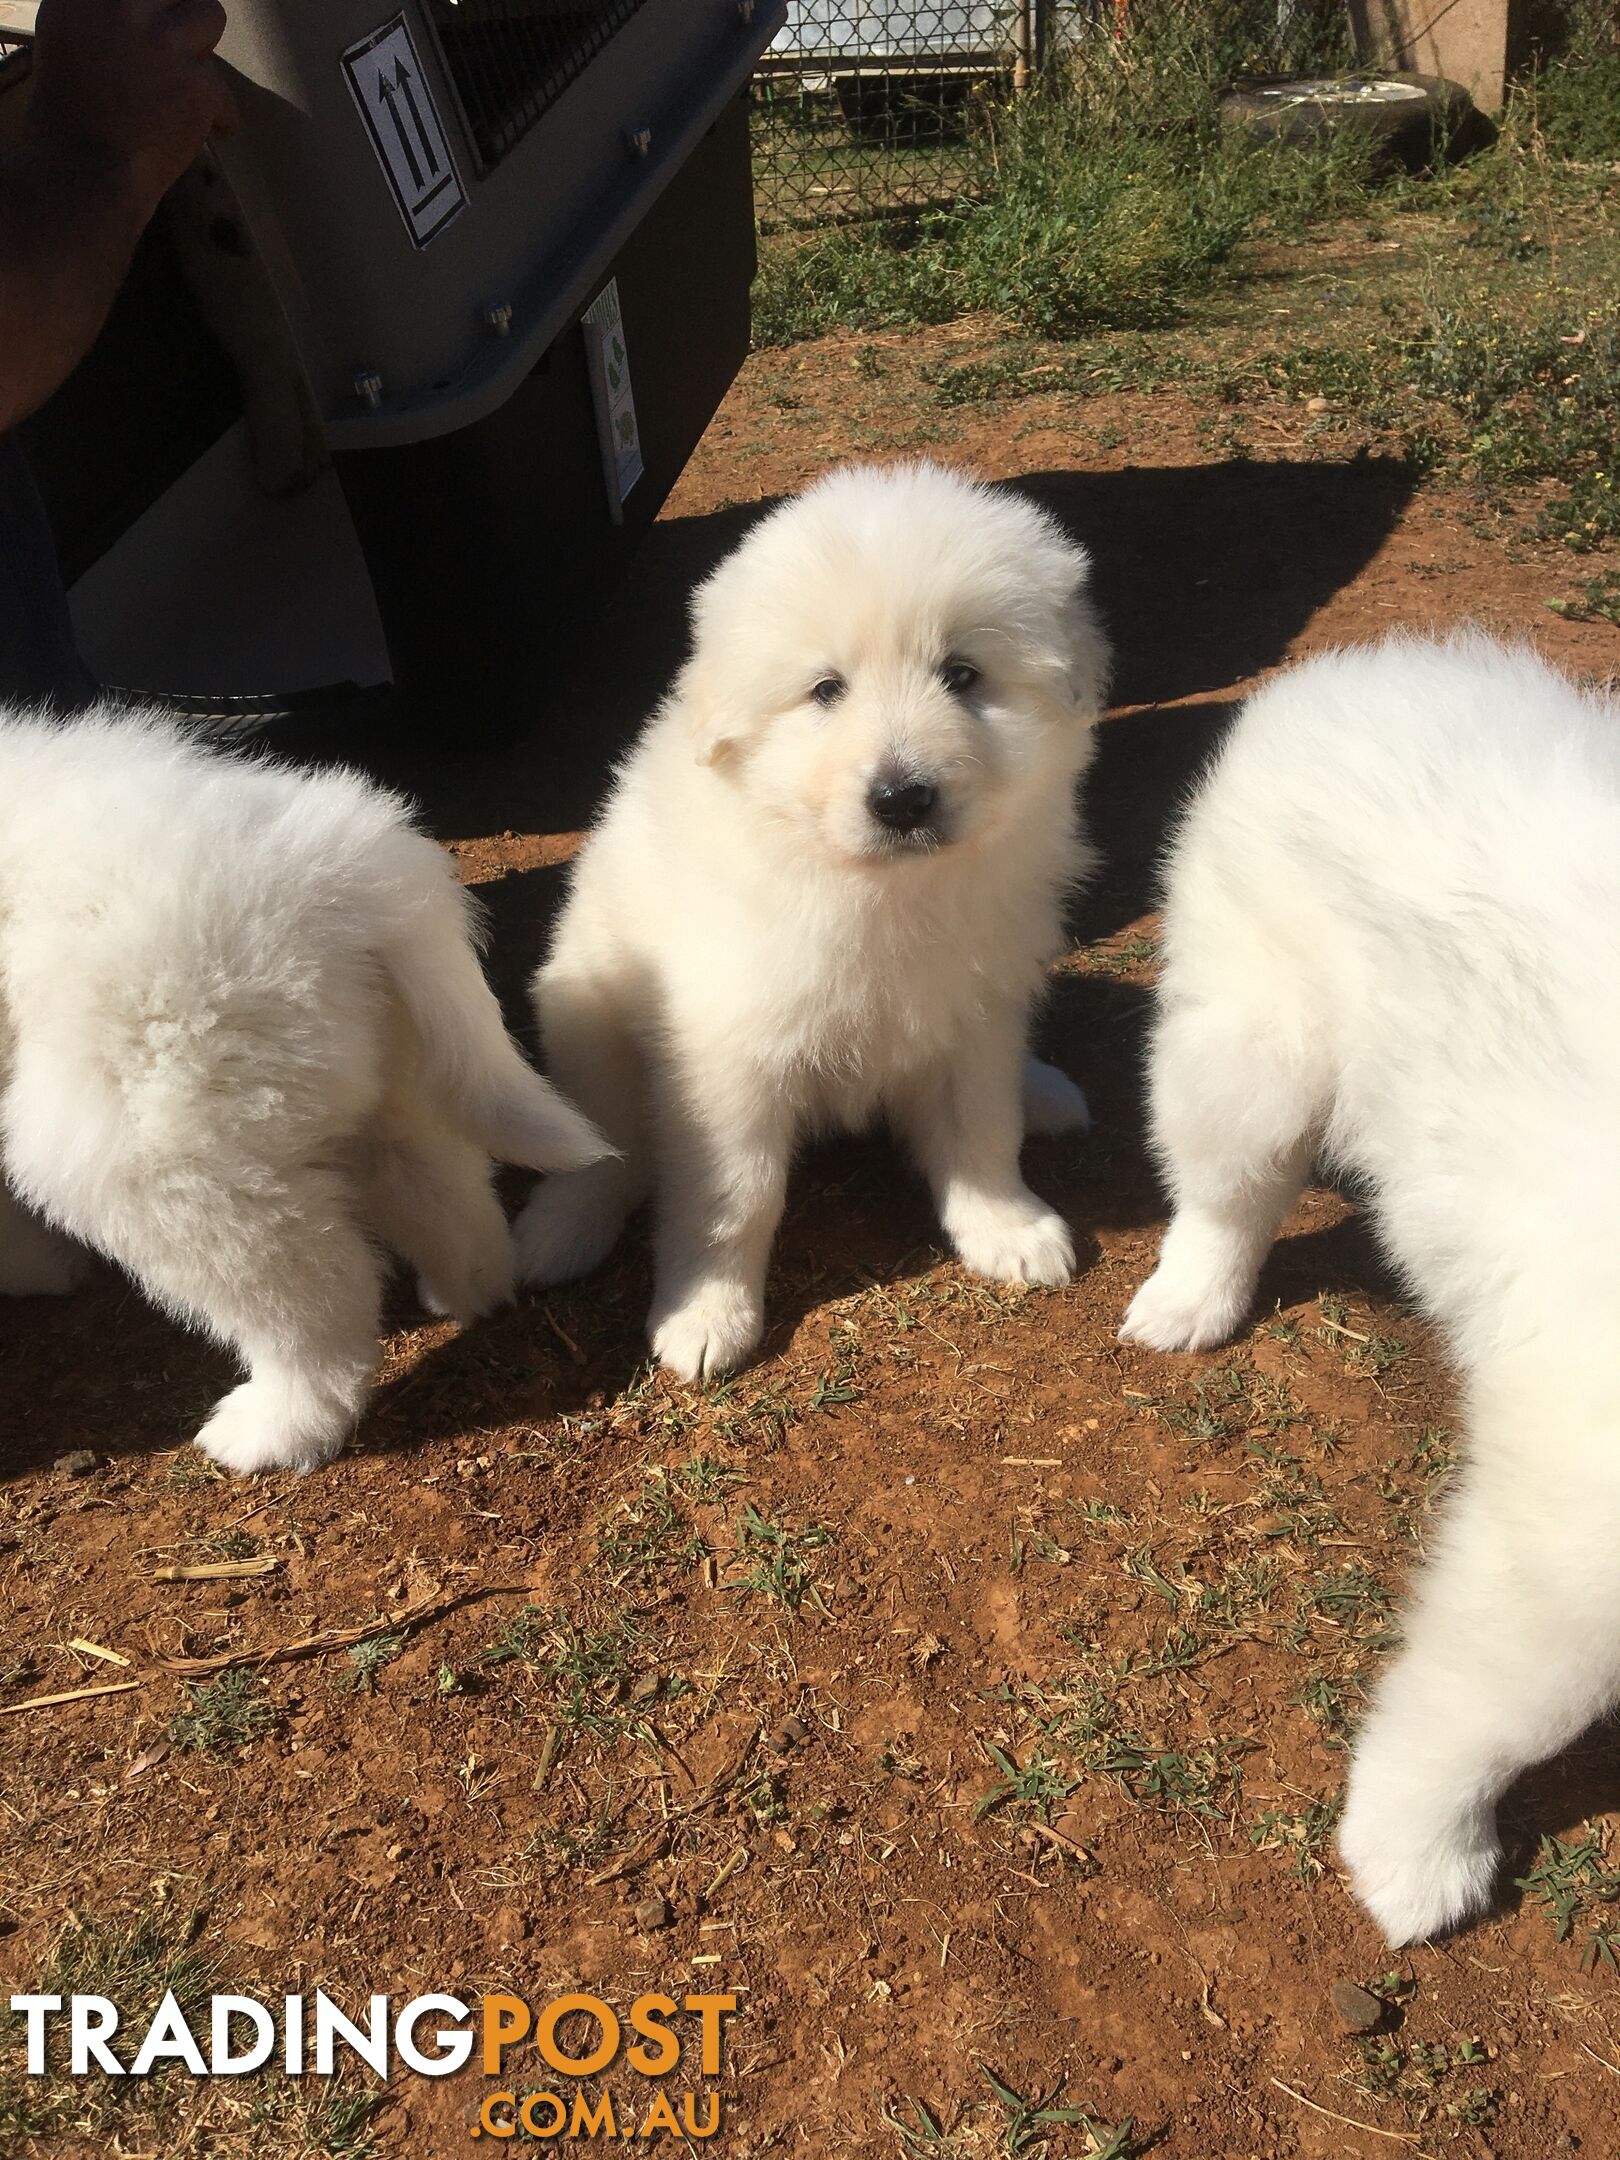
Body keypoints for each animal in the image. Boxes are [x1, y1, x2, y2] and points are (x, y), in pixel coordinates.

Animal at [1, 704, 609, 1468]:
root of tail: (355, 873)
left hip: (155, 1142)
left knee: (314, 1290)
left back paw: (277, 1424)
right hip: (371, 1068)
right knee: (438, 1184)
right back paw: (468, 1290)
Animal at [514, 462, 1114, 1373]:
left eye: (963, 674)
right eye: (826, 690)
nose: (902, 799)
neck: (877, 887)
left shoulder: (973, 1016)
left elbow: (982, 1130)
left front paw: (1007, 1228)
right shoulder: (727, 1058)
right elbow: (734, 1196)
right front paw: (707, 1315)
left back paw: (1042, 1090)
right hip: (585, 1008)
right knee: (604, 1142)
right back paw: (562, 1227)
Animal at [1123, 630, 1620, 1952]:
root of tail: (1368, 664)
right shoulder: (1564, 1535)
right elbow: (1484, 1709)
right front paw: (1413, 1857)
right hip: (1254, 1047)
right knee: (1222, 1194)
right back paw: (1188, 1304)